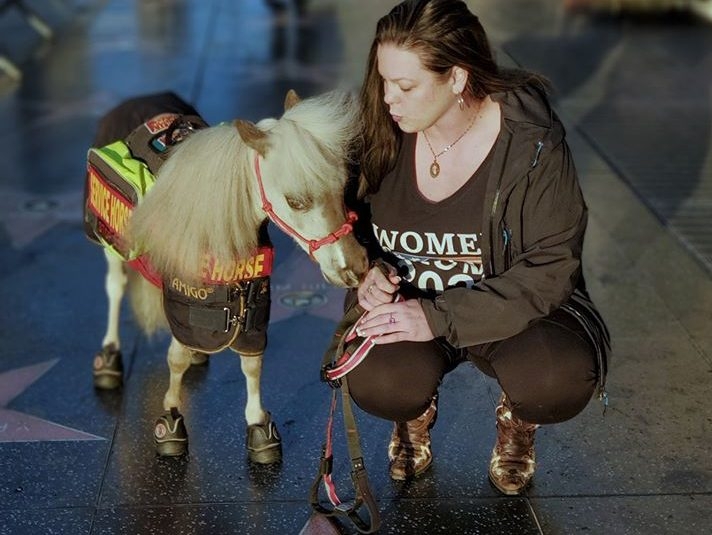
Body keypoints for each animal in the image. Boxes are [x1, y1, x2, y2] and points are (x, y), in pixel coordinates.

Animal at [85, 89, 368, 464]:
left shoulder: (253, 300)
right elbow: (175, 360)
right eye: (296, 201)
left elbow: (252, 363)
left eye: (342, 187)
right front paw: (170, 420)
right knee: (115, 288)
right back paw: (109, 358)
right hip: (110, 246)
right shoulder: (184, 294)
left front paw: (259, 425)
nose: (355, 265)